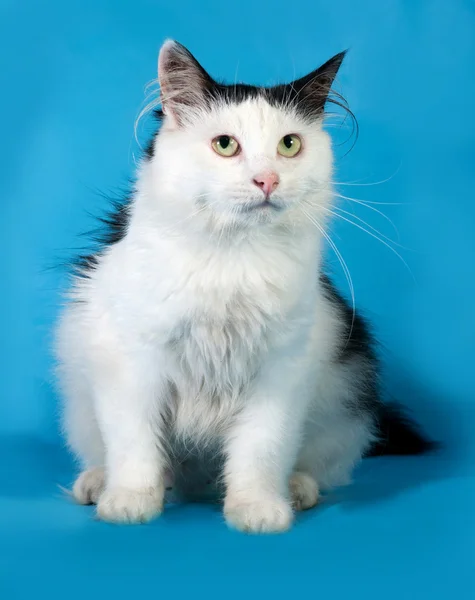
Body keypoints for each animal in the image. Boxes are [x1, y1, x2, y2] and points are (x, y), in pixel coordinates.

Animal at [56, 39, 436, 532]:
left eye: (289, 145)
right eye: (225, 145)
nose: (267, 180)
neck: (232, 257)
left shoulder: (282, 369)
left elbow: (261, 449)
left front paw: (256, 509)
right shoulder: (132, 361)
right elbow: (134, 445)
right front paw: (130, 503)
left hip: (344, 396)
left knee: (322, 465)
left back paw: (297, 490)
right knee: (109, 454)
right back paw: (98, 484)